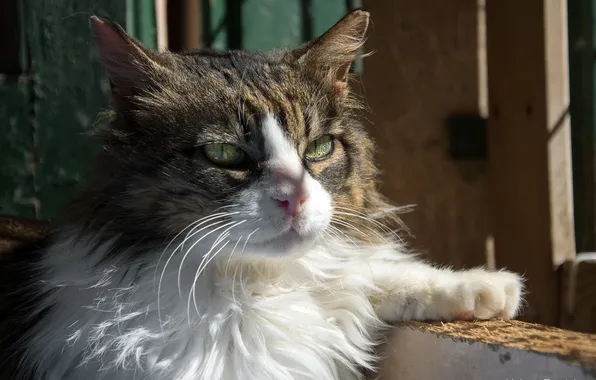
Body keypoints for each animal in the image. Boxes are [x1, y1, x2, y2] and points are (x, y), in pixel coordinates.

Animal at [0, 8, 520, 380]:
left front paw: (483, 288)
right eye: (225, 154)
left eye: (319, 148)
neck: (253, 288)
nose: (297, 198)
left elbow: (368, 272)